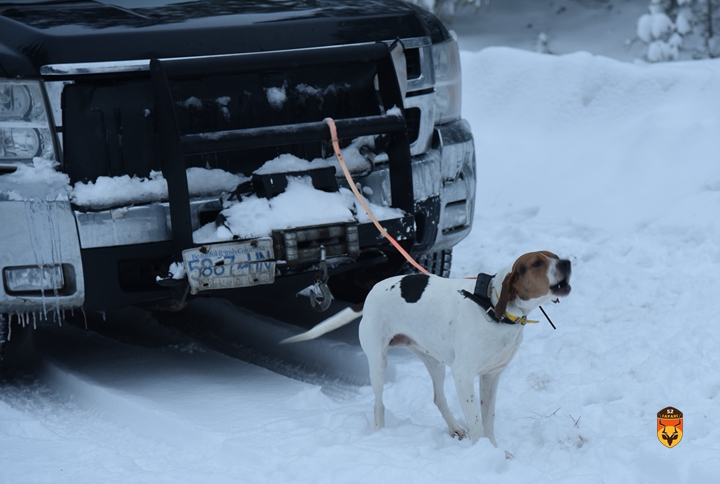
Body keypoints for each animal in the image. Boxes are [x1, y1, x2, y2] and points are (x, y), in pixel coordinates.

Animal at [282, 253, 568, 446]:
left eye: (554, 257)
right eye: (537, 263)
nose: (566, 263)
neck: (492, 303)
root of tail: (371, 290)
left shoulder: (491, 376)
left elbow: (488, 421)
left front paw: (495, 451)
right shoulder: (464, 375)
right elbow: (477, 423)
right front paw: (481, 451)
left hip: (434, 360)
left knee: (438, 397)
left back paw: (454, 428)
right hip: (378, 362)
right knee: (378, 404)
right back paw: (379, 434)